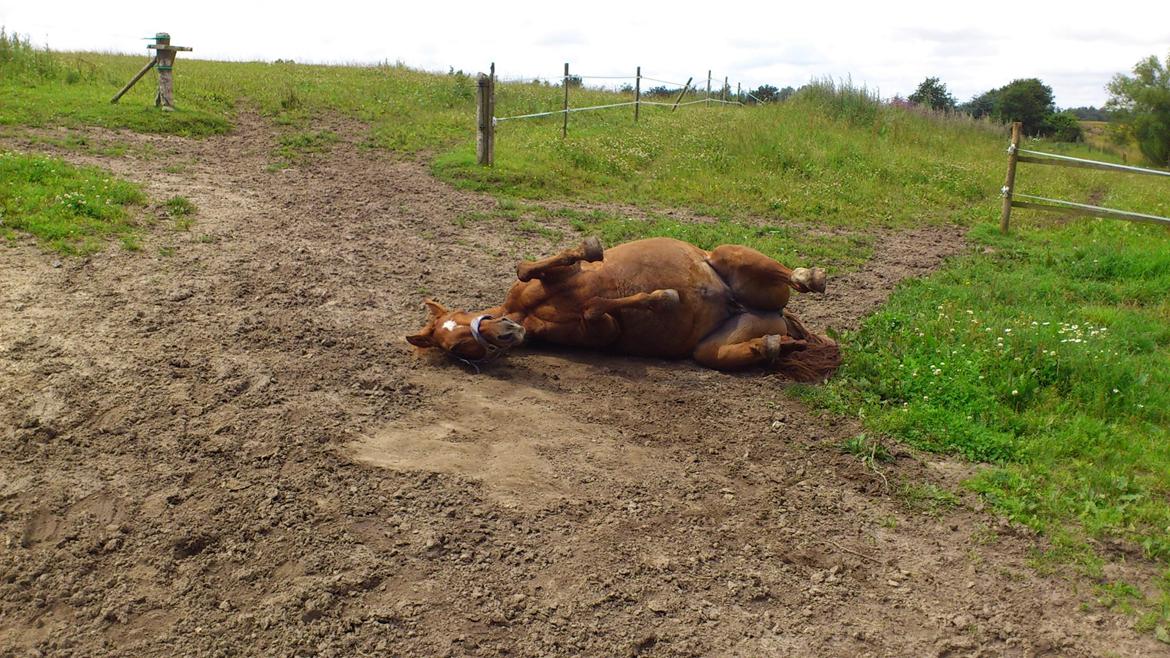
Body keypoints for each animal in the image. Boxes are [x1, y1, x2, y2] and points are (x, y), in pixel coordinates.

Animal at [404, 234, 842, 379]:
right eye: (456, 348)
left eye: (460, 320)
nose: (506, 331)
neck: (526, 314)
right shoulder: (603, 330)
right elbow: (597, 307)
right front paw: (664, 298)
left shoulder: (561, 274)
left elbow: (530, 267)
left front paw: (592, 248)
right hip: (712, 351)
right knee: (763, 347)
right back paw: (781, 346)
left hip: (730, 256)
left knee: (795, 278)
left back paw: (812, 277)